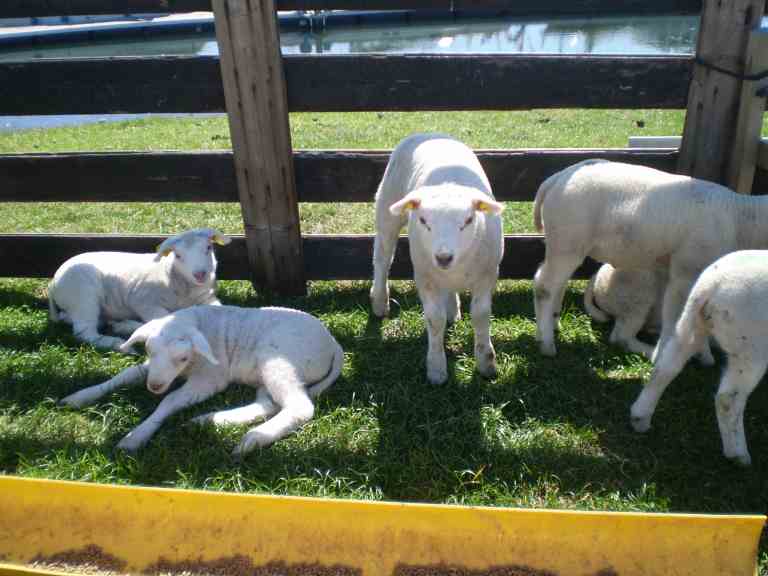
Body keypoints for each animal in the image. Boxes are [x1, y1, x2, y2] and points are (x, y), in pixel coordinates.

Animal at [46, 228, 228, 352]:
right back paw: (119, 343)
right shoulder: (142, 300)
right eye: (178, 256)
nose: (200, 274)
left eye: (208, 248)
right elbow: (167, 318)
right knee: (84, 332)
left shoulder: (206, 298)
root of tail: (53, 283)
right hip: (83, 295)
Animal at [60, 304, 344, 456]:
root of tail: (333, 344)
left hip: (279, 360)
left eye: (183, 357)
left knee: (299, 407)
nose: (154, 387)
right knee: (267, 404)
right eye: (149, 350)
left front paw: (136, 436)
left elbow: (170, 400)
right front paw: (81, 396)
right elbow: (124, 374)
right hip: (267, 370)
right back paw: (209, 420)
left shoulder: (210, 379)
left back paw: (254, 438)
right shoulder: (154, 368)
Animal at [370, 133, 504, 384]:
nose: (443, 257)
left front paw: (486, 362)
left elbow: (481, 315)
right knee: (382, 257)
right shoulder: (425, 276)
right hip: (387, 208)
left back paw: (453, 309)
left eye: (469, 220)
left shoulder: (488, 274)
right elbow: (434, 319)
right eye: (423, 220)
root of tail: (429, 133)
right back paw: (380, 302)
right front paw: (436, 369)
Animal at [536, 159, 768, 360]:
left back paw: (552, 325)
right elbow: (675, 316)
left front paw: (702, 353)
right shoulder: (686, 271)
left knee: (556, 284)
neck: (742, 220)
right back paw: (546, 344)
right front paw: (675, 355)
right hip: (568, 241)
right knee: (544, 287)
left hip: (564, 244)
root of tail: (556, 178)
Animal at [632, 250, 768, 466]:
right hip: (751, 347)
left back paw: (640, 416)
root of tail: (709, 287)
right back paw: (738, 454)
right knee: (727, 399)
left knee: (665, 367)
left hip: (692, 324)